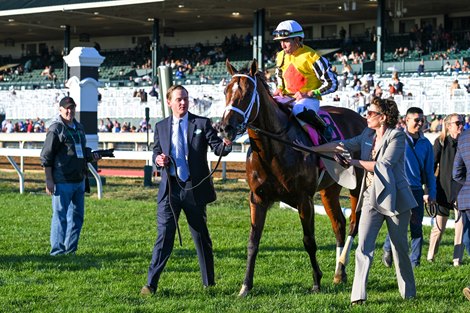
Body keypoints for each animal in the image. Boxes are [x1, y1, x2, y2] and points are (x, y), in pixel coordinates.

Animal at [219, 59, 368, 296]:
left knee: (354, 223)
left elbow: (309, 240)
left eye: (247, 92)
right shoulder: (257, 199)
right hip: (329, 190)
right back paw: (339, 273)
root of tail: (360, 119)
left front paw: (316, 281)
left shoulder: (303, 199)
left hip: (357, 186)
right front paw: (245, 286)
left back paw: (342, 265)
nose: (225, 128)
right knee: (339, 224)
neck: (273, 149)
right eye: (226, 91)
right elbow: (253, 242)